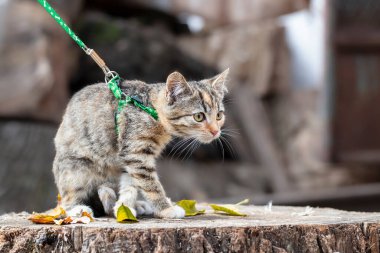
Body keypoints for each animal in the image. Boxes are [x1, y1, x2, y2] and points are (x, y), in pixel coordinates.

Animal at [52, 68, 229, 217]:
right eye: (198, 117)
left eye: (219, 115)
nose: (216, 131)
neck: (150, 110)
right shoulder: (136, 153)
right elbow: (150, 185)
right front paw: (166, 209)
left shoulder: (129, 159)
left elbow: (130, 185)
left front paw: (124, 208)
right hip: (77, 169)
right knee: (65, 203)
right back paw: (77, 209)